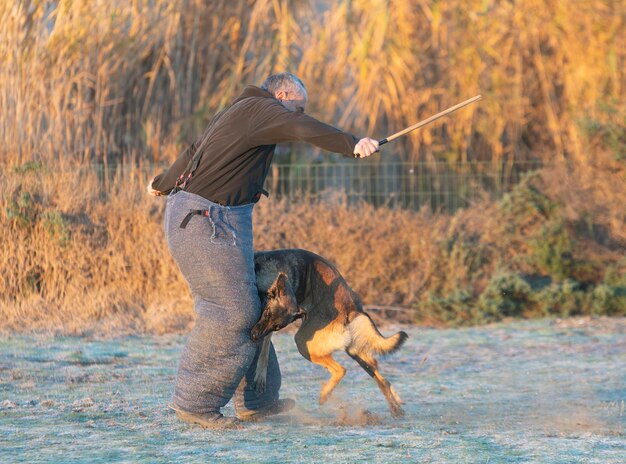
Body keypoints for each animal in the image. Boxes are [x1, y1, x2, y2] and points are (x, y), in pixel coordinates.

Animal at [251, 250, 408, 416]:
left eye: (275, 325)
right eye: (266, 314)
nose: (253, 336)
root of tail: (352, 309)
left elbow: (265, 348)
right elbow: (265, 347)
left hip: (303, 343)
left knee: (341, 370)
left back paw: (324, 395)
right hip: (355, 353)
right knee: (382, 378)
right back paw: (396, 408)